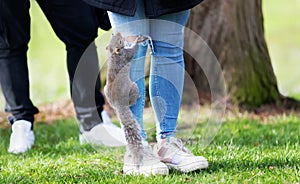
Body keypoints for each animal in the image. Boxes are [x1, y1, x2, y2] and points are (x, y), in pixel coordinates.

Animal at [104, 32, 146, 166]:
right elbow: (132, 51)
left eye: (113, 36)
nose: (117, 32)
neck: (113, 54)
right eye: (120, 41)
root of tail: (119, 105)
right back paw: (138, 97)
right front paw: (136, 41)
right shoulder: (126, 55)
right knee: (133, 99)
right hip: (134, 87)